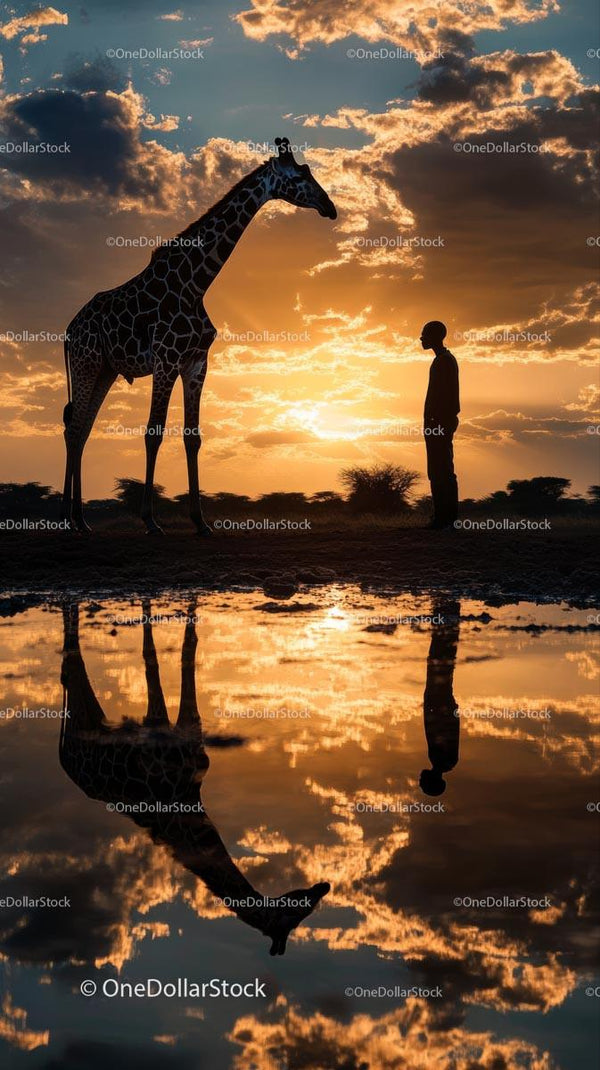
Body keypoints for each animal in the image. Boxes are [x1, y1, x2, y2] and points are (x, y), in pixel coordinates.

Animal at [59, 600, 330, 955]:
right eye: (299, 911)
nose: (324, 886)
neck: (187, 804)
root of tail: (64, 757)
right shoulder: (158, 726)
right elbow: (153, 657)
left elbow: (187, 647)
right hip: (82, 713)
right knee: (71, 660)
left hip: (91, 718)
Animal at [61, 137, 337, 534]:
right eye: (300, 176)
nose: (330, 207)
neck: (196, 283)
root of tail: (69, 330)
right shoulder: (166, 359)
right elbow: (153, 432)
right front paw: (150, 521)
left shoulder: (196, 362)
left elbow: (193, 438)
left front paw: (201, 521)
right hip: (86, 363)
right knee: (73, 429)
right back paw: (67, 517)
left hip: (105, 370)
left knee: (81, 429)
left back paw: (80, 520)